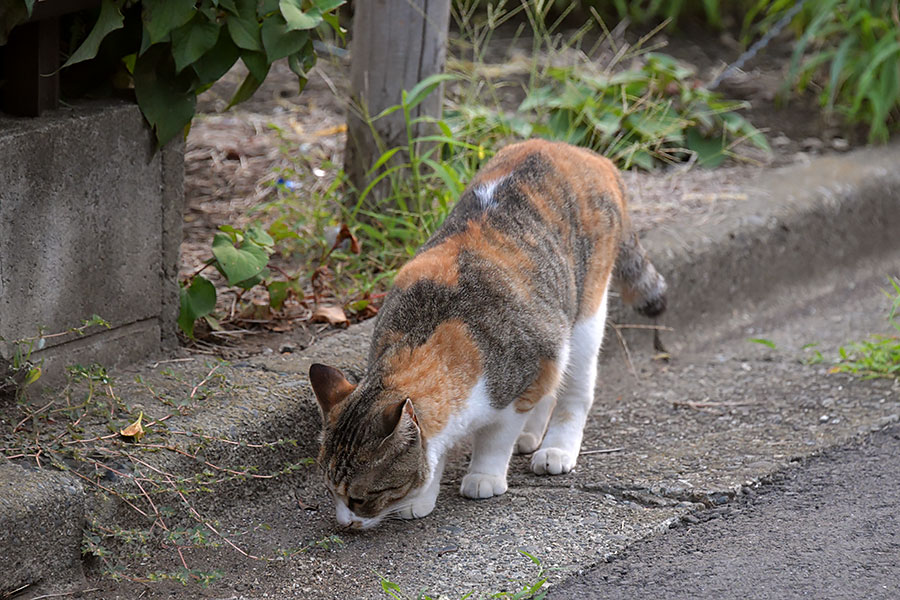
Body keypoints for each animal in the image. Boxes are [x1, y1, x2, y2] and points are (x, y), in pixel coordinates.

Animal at [306, 141, 664, 528]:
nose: (344, 523)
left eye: (360, 498)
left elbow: (496, 439)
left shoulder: (521, 381)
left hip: (585, 315)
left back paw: (556, 448)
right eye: (329, 490)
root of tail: (583, 152)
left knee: (574, 390)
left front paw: (483, 476)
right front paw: (423, 496)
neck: (427, 333)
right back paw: (531, 436)